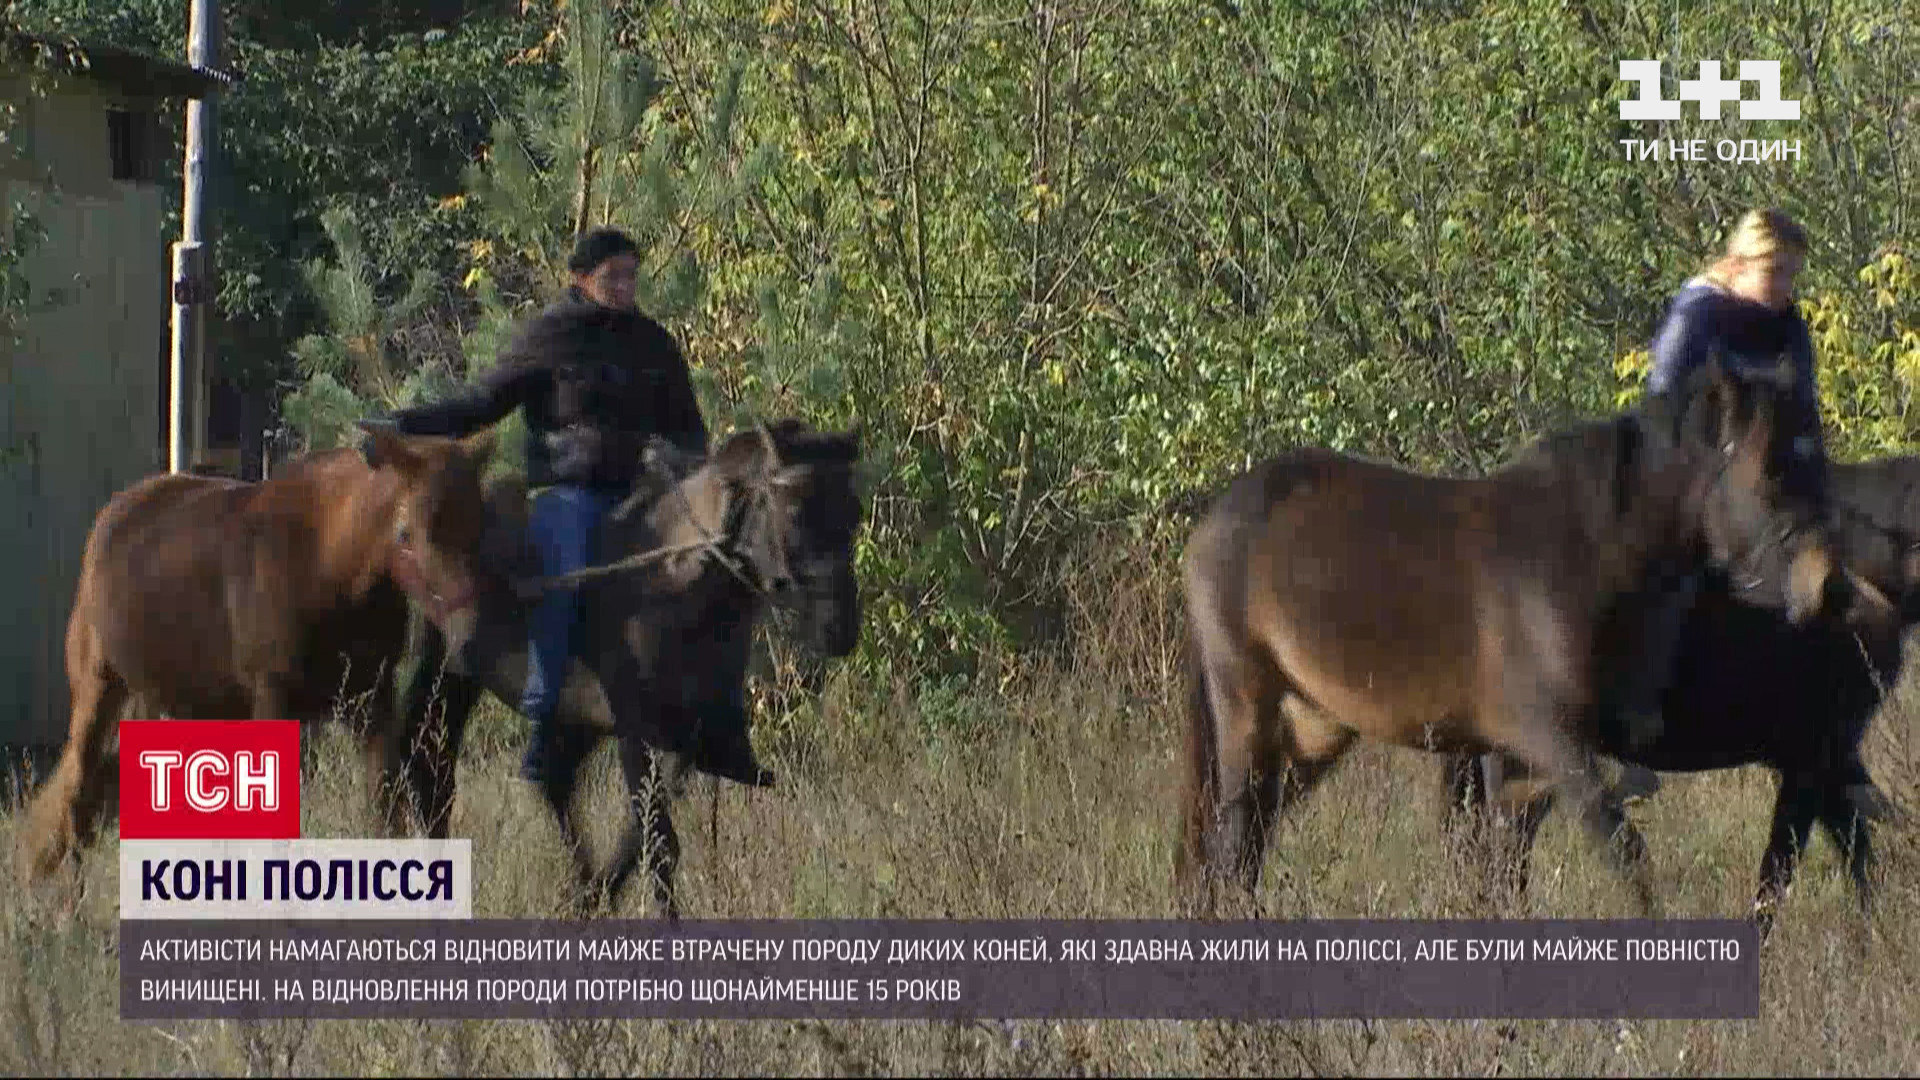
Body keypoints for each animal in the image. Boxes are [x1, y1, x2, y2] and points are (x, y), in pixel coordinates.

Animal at [15, 417, 495, 880]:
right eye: (407, 532)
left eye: (479, 524)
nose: (469, 634)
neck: (331, 566)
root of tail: (111, 517)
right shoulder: (274, 699)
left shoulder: (371, 701)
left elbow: (385, 814)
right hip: (100, 692)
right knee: (76, 797)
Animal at [1167, 357, 1843, 910]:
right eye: (1768, 472)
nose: (1823, 585)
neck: (1584, 554)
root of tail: (1213, 520)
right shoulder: (1550, 740)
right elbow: (1621, 851)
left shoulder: (1527, 755)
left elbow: (1510, 864)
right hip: (1248, 711)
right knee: (1233, 842)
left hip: (1313, 728)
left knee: (1246, 840)